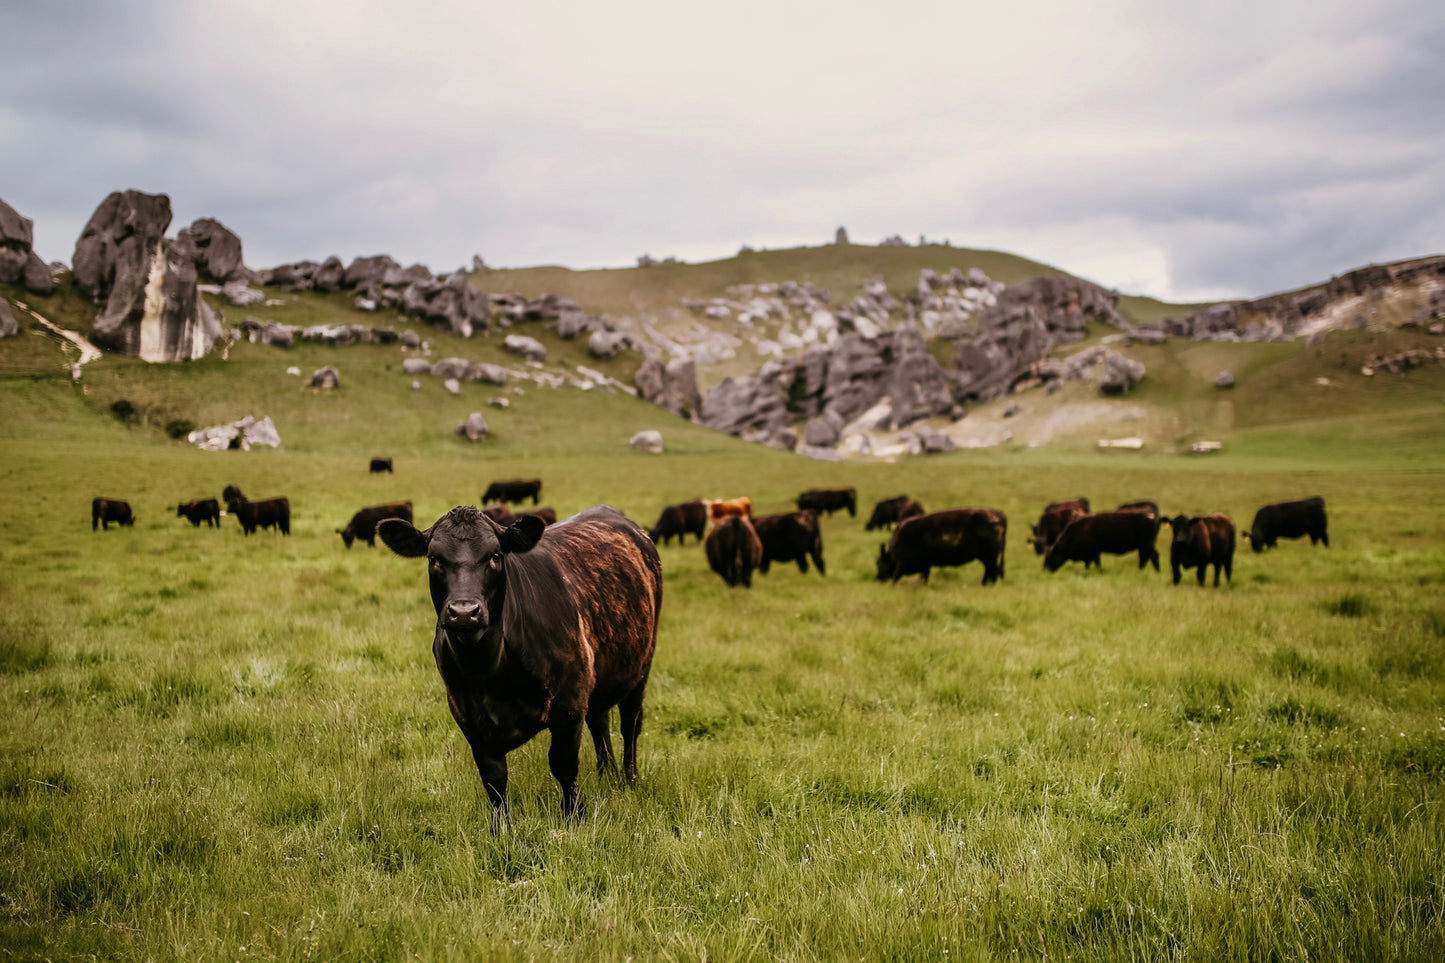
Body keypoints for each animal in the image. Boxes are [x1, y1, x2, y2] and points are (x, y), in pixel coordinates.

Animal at [375, 497, 661, 821]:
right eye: (434, 558)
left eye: (495, 556)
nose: (464, 612)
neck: (490, 670)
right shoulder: (466, 715)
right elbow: (494, 780)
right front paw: (501, 828)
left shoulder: (569, 701)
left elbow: (563, 765)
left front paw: (575, 816)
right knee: (599, 721)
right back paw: (607, 774)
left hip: (640, 668)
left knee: (630, 723)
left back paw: (629, 779)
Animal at [872, 506, 1011, 581]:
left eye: (880, 563)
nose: (878, 578)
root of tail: (998, 514)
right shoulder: (925, 564)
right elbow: (924, 576)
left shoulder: (902, 564)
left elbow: (896, 577)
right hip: (988, 557)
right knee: (992, 571)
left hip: (989, 557)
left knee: (992, 572)